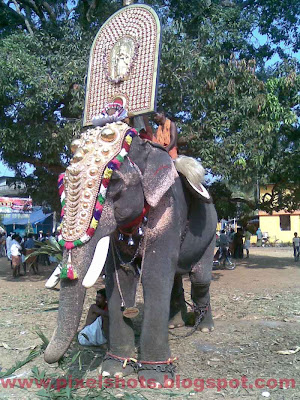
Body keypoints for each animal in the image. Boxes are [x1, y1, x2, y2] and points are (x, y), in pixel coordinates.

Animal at [43, 119, 217, 388]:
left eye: (113, 182)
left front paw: (156, 379)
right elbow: (119, 279)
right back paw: (174, 325)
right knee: (176, 278)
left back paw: (204, 328)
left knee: (199, 279)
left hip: (213, 231)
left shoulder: (169, 208)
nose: (46, 358)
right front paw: (114, 371)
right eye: (61, 183)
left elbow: (154, 277)